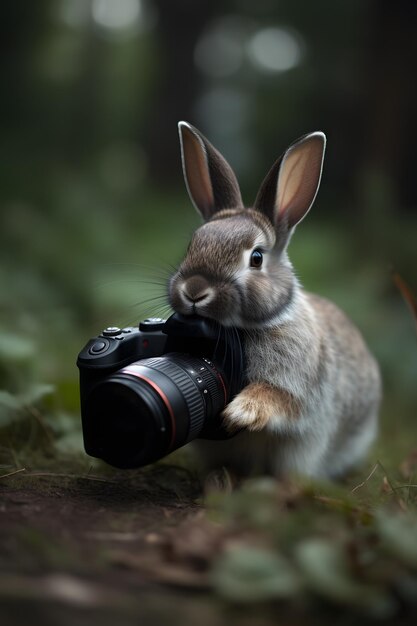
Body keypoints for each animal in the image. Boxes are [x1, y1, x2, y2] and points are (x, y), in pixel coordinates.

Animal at [167, 119, 380, 476]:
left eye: (256, 258)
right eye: (192, 244)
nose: (194, 290)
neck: (242, 331)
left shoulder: (301, 391)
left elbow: (279, 398)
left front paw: (240, 412)